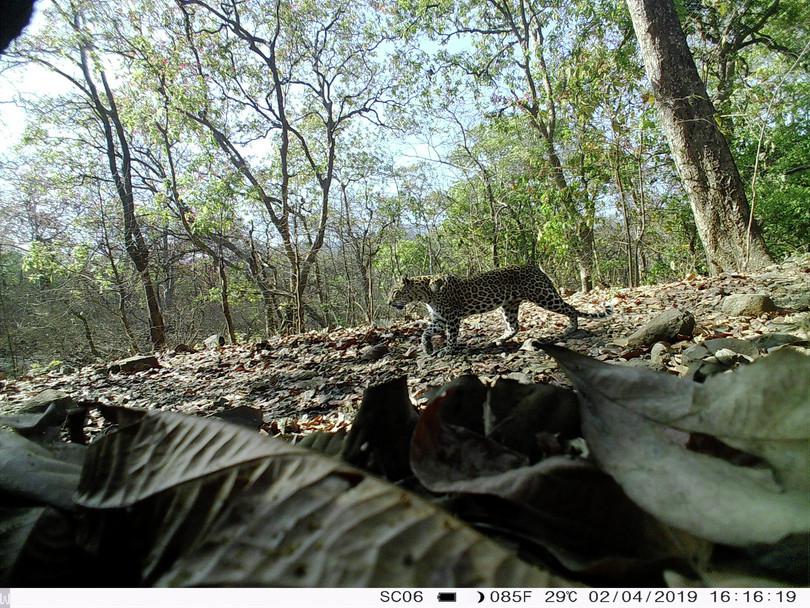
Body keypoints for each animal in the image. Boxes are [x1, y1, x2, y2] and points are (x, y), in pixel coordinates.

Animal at [388, 264, 608, 354]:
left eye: (395, 292)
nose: (389, 303)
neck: (426, 294)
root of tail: (536, 268)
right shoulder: (440, 318)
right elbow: (425, 332)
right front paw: (427, 347)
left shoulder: (451, 318)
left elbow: (451, 336)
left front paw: (447, 351)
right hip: (508, 305)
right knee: (514, 326)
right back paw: (499, 339)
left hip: (543, 296)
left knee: (570, 308)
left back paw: (571, 328)